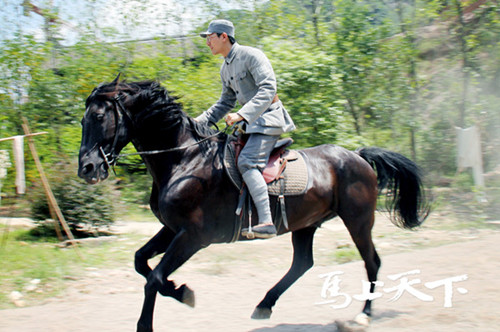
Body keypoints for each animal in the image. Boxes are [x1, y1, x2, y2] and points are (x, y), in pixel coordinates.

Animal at [78, 76, 430, 330]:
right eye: (83, 121)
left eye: (98, 116)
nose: (87, 169)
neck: (184, 160)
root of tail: (357, 156)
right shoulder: (172, 229)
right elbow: (141, 262)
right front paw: (181, 290)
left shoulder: (193, 237)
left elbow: (153, 279)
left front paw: (170, 303)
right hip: (305, 223)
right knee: (302, 264)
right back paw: (264, 305)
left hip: (358, 220)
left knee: (372, 262)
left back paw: (363, 315)